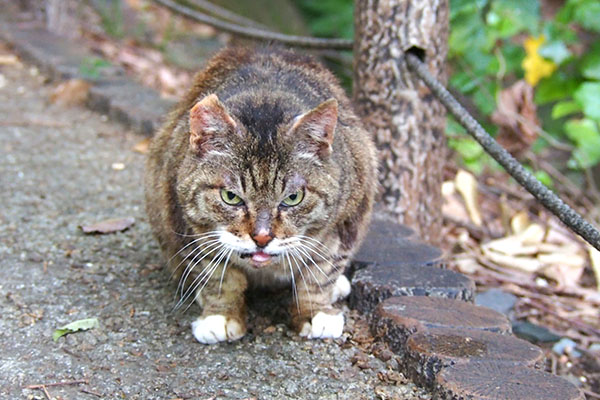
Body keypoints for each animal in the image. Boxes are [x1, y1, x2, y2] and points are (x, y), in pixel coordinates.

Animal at [145, 46, 378, 340]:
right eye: (231, 197)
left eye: (293, 198)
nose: (262, 237)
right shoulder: (184, 221)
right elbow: (218, 277)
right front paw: (220, 315)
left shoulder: (348, 220)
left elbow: (320, 273)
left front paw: (315, 312)